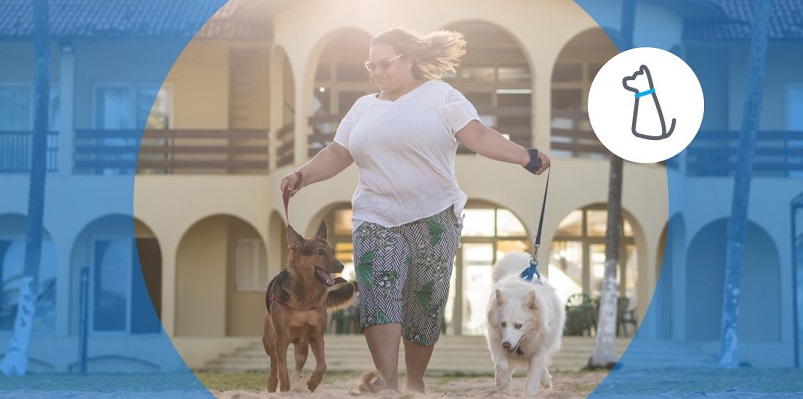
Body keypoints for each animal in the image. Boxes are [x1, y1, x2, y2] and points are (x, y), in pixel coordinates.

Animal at [264, 222, 354, 394]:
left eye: (333, 252)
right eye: (319, 252)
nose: (341, 266)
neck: (305, 300)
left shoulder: (317, 336)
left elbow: (322, 364)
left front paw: (313, 382)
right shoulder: (281, 340)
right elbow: (282, 369)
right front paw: (284, 390)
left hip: (302, 347)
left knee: (297, 366)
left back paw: (297, 385)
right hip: (270, 341)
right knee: (274, 361)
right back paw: (272, 384)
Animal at [484, 253, 564, 396]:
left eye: (518, 326)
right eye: (503, 324)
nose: (506, 344)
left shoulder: (539, 353)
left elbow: (532, 381)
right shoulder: (495, 340)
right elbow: (502, 364)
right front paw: (502, 382)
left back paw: (546, 381)